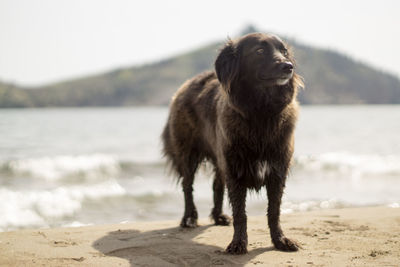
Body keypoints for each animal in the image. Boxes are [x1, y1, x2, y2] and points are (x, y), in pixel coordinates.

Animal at [161, 32, 302, 254]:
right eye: (259, 51)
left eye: (284, 51)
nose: (288, 66)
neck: (260, 112)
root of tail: (187, 84)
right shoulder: (236, 171)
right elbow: (240, 214)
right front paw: (238, 243)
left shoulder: (277, 172)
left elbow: (274, 211)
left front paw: (280, 241)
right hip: (188, 154)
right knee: (187, 186)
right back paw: (190, 218)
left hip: (220, 158)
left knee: (217, 185)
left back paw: (218, 216)